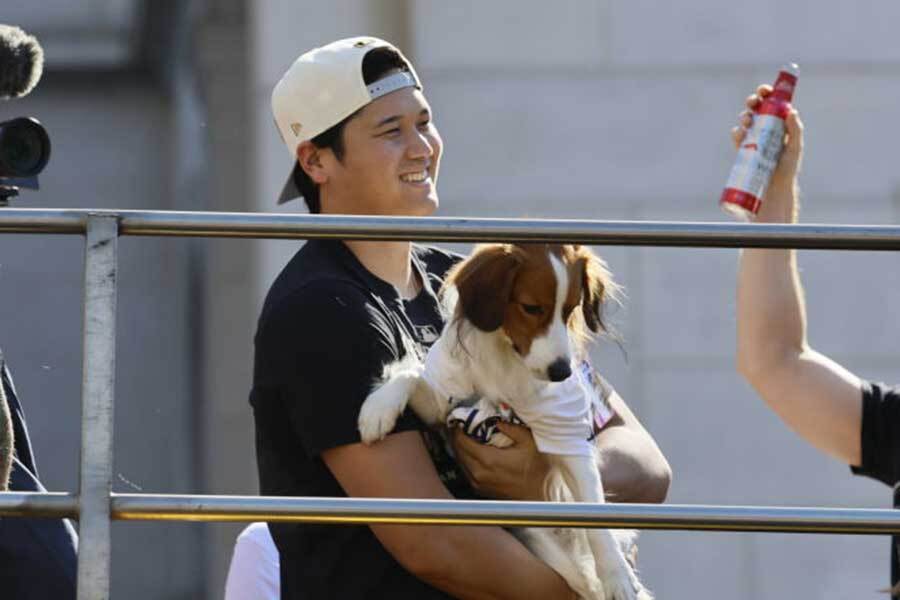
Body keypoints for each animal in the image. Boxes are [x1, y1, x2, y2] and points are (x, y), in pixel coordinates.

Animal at [360, 244, 652, 600]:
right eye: (531, 307)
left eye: (570, 309)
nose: (562, 372)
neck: (507, 357)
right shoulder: (441, 401)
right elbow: (411, 375)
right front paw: (377, 409)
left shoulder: (568, 438)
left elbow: (596, 518)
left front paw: (616, 576)